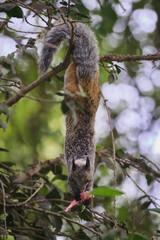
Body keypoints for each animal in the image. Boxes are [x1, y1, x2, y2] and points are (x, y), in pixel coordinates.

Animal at [39, 22, 100, 205]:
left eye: (87, 180)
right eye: (72, 179)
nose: (80, 192)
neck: (80, 157)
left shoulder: (91, 170)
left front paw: (87, 199)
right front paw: (76, 196)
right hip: (73, 83)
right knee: (74, 70)